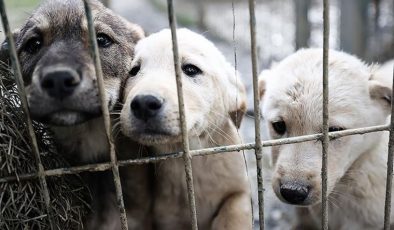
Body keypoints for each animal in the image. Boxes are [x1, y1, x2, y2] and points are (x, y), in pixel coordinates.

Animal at [118, 29, 252, 230]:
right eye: (133, 71)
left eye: (190, 69)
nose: (143, 104)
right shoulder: (167, 218)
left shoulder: (241, 189)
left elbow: (235, 211)